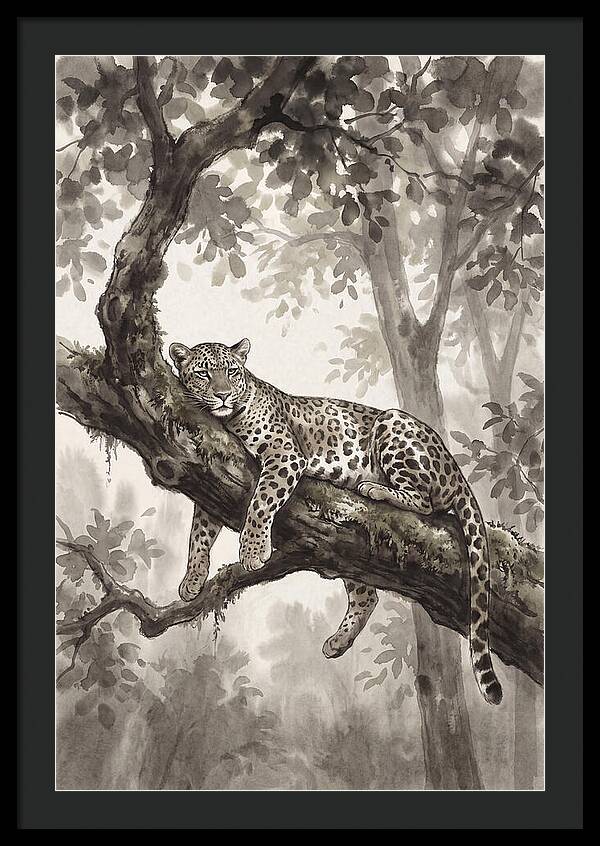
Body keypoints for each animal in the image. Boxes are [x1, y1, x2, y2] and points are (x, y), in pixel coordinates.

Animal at [169, 337, 502, 705]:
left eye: (231, 371)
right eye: (203, 373)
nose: (224, 395)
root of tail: (456, 470)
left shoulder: (285, 455)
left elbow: (260, 502)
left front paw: (254, 551)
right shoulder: (214, 473)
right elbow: (199, 532)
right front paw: (192, 580)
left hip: (393, 424)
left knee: (424, 502)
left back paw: (374, 487)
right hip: (348, 553)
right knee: (366, 596)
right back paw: (338, 642)